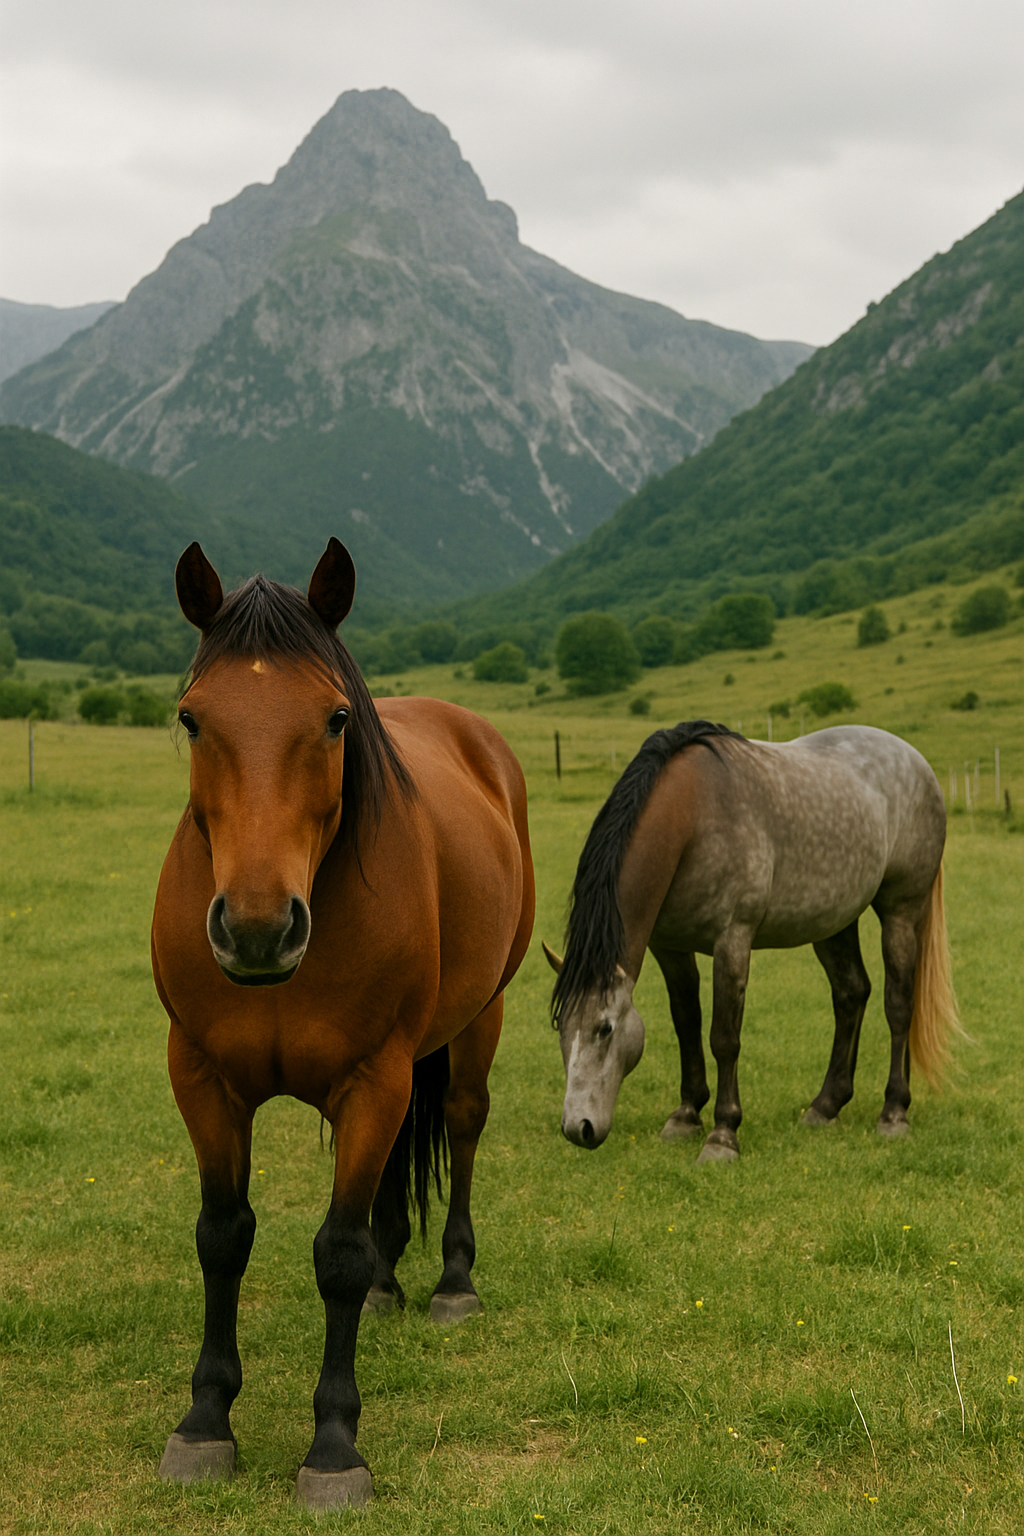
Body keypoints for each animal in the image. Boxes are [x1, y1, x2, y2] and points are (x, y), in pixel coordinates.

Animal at [151, 538, 534, 1510]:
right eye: (192, 719)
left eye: (332, 720)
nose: (256, 927)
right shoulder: (202, 1077)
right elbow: (223, 1236)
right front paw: (205, 1421)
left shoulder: (374, 1078)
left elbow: (338, 1252)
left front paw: (333, 1445)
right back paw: (392, 1288)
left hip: (477, 1020)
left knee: (463, 1126)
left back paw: (451, 1282)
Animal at [545, 720, 959, 1163]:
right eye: (560, 1024)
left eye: (604, 1028)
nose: (579, 1128)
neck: (695, 816)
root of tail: (916, 760)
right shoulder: (670, 947)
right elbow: (686, 1023)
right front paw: (686, 1115)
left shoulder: (732, 942)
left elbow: (724, 1037)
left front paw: (723, 1135)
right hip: (834, 921)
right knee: (851, 994)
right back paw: (826, 1105)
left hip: (900, 911)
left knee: (898, 1005)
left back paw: (894, 1112)